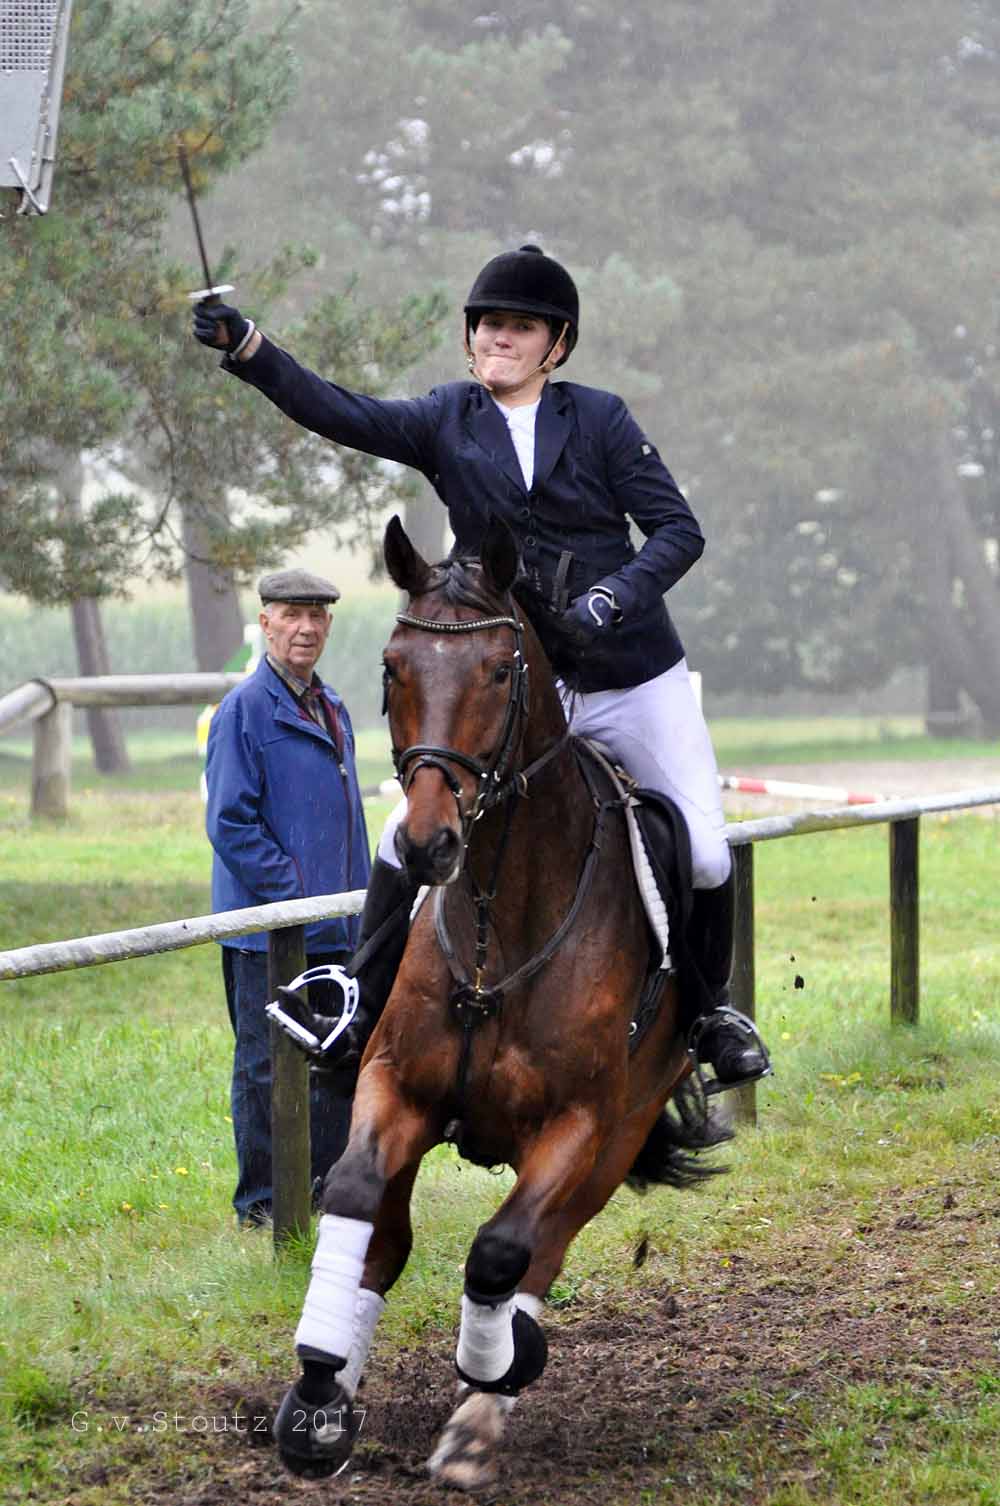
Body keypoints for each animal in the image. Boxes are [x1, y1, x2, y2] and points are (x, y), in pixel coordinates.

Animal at [272, 514, 726, 1490]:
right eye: (393, 666)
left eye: (498, 672)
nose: (427, 843)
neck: (497, 924)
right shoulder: (393, 1082)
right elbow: (359, 1203)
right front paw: (319, 1393)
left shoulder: (582, 1123)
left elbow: (501, 1252)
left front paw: (495, 1373)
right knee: (391, 1237)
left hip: (620, 1132)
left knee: (538, 1252)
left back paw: (487, 1404)